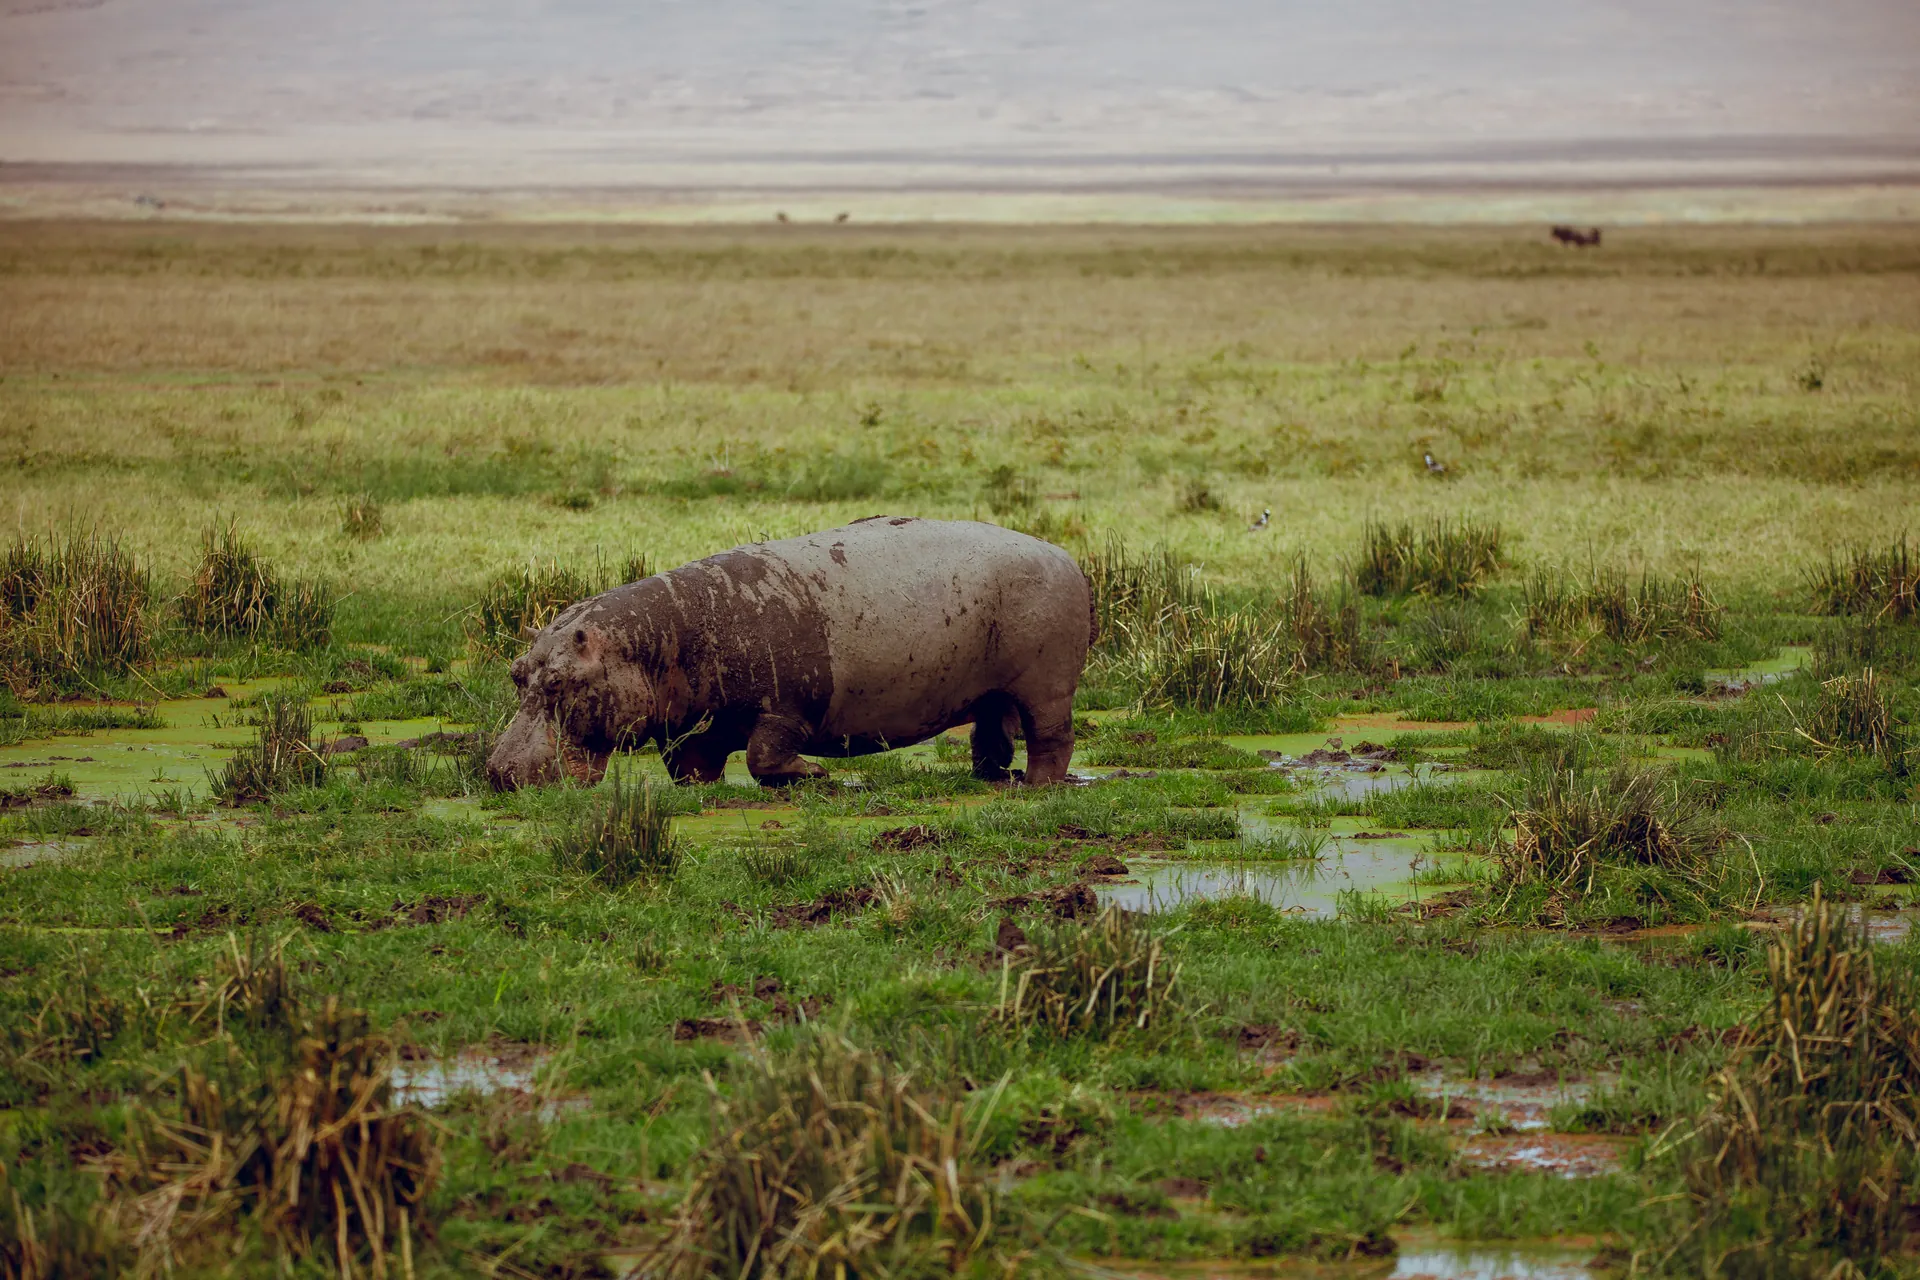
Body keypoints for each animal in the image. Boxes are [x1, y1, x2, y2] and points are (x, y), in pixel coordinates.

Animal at [485, 517, 1093, 790]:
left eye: (558, 683)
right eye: (516, 674)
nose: (497, 771)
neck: (659, 642)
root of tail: (1065, 556)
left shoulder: (784, 712)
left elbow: (764, 756)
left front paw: (819, 776)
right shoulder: (693, 724)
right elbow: (687, 765)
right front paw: (701, 789)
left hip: (1046, 687)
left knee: (1052, 739)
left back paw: (1037, 785)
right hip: (992, 692)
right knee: (992, 735)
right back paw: (987, 778)